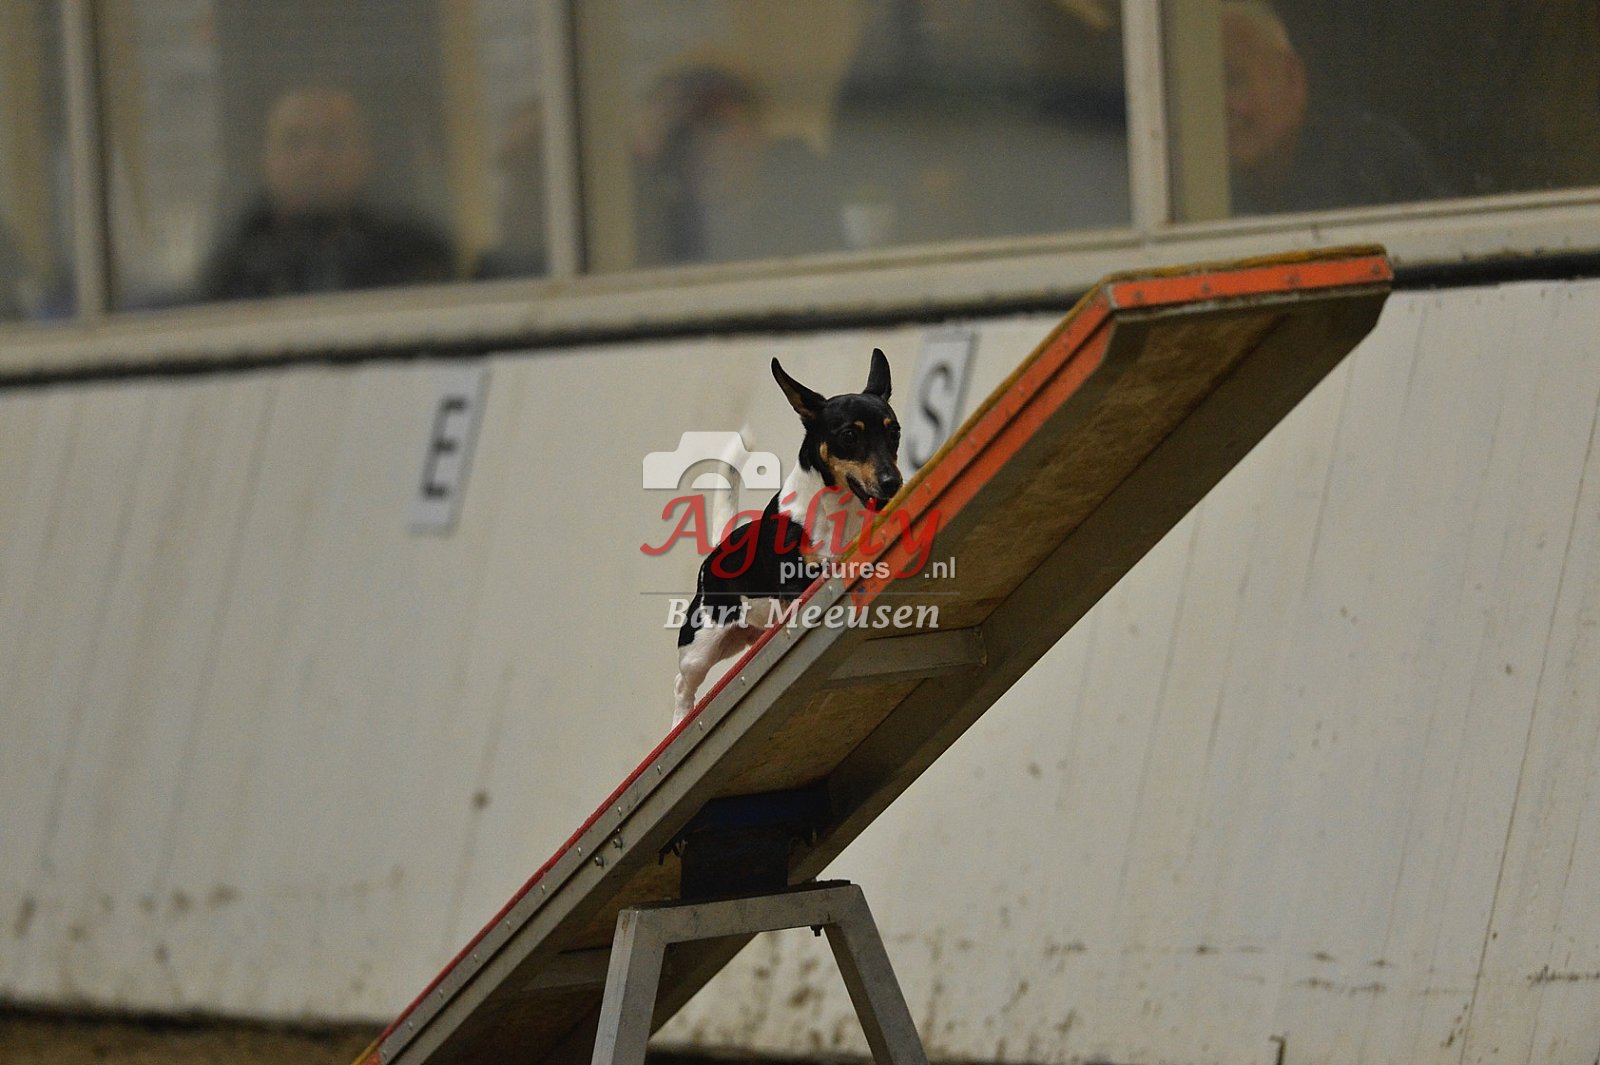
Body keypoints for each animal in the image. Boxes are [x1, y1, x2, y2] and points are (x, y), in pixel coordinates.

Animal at [673, 350, 903, 723]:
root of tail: (720, 548)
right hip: (702, 641)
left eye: (893, 432)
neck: (835, 508)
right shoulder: (795, 583)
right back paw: (681, 719)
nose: (892, 482)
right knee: (683, 685)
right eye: (849, 436)